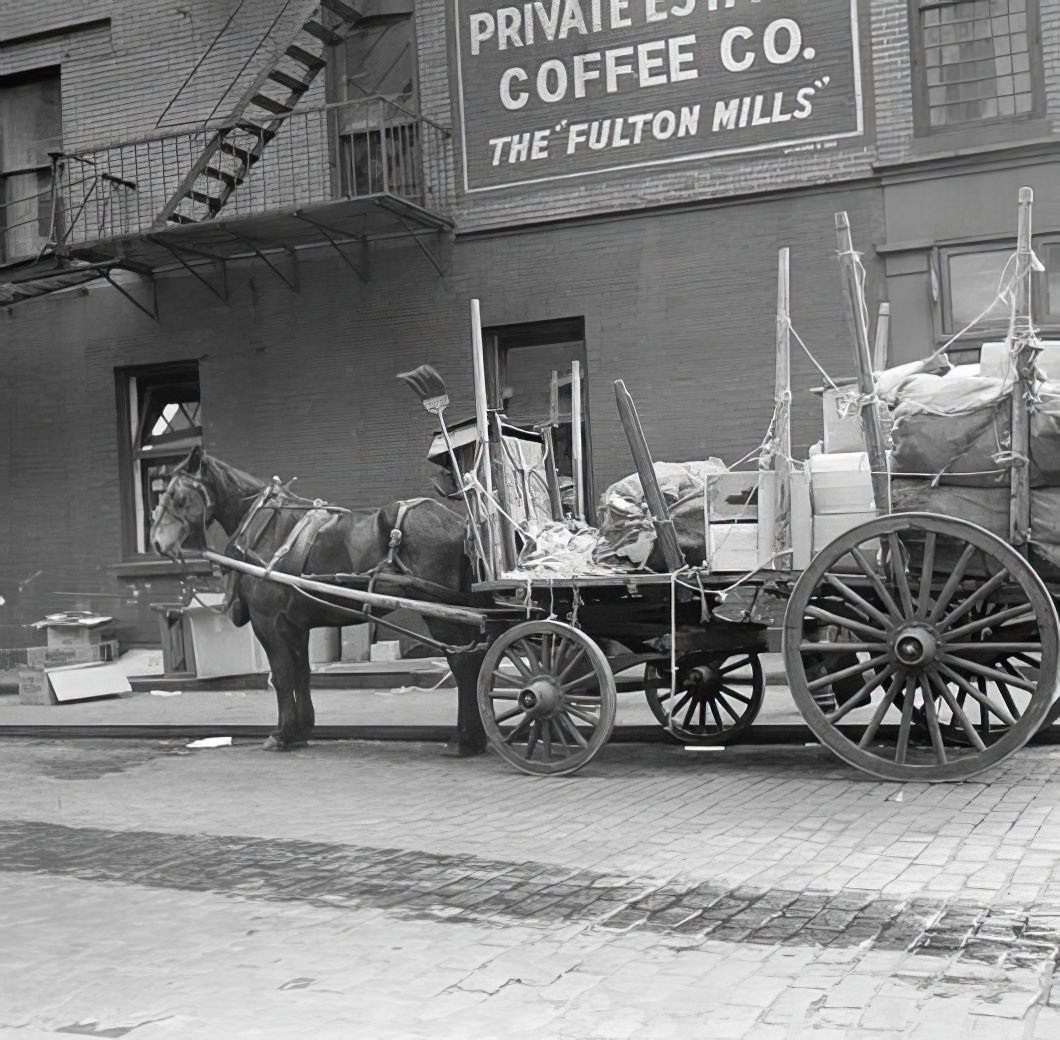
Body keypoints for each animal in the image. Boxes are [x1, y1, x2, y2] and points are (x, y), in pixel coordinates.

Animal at [148, 447, 487, 754]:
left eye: (179, 497)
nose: (156, 542)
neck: (266, 526)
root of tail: (456, 523)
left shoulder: (267, 622)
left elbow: (282, 675)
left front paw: (282, 734)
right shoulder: (294, 625)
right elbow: (301, 673)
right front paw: (301, 731)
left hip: (443, 615)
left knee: (463, 663)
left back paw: (465, 739)